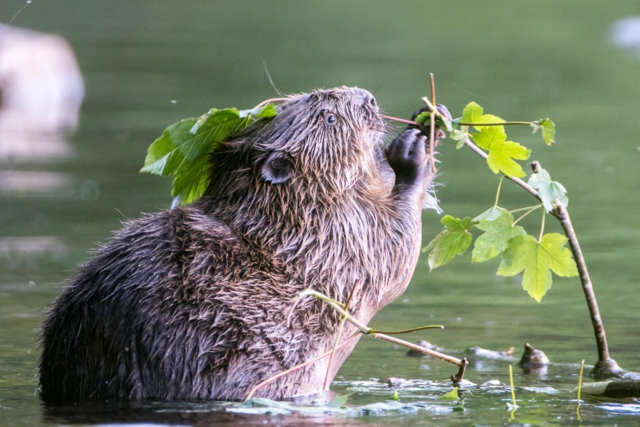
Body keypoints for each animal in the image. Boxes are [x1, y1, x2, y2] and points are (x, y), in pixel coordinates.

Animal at [38, 86, 440, 402]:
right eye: (328, 118)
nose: (368, 99)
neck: (284, 219)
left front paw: (429, 120)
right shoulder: (341, 240)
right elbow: (394, 255)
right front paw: (412, 151)